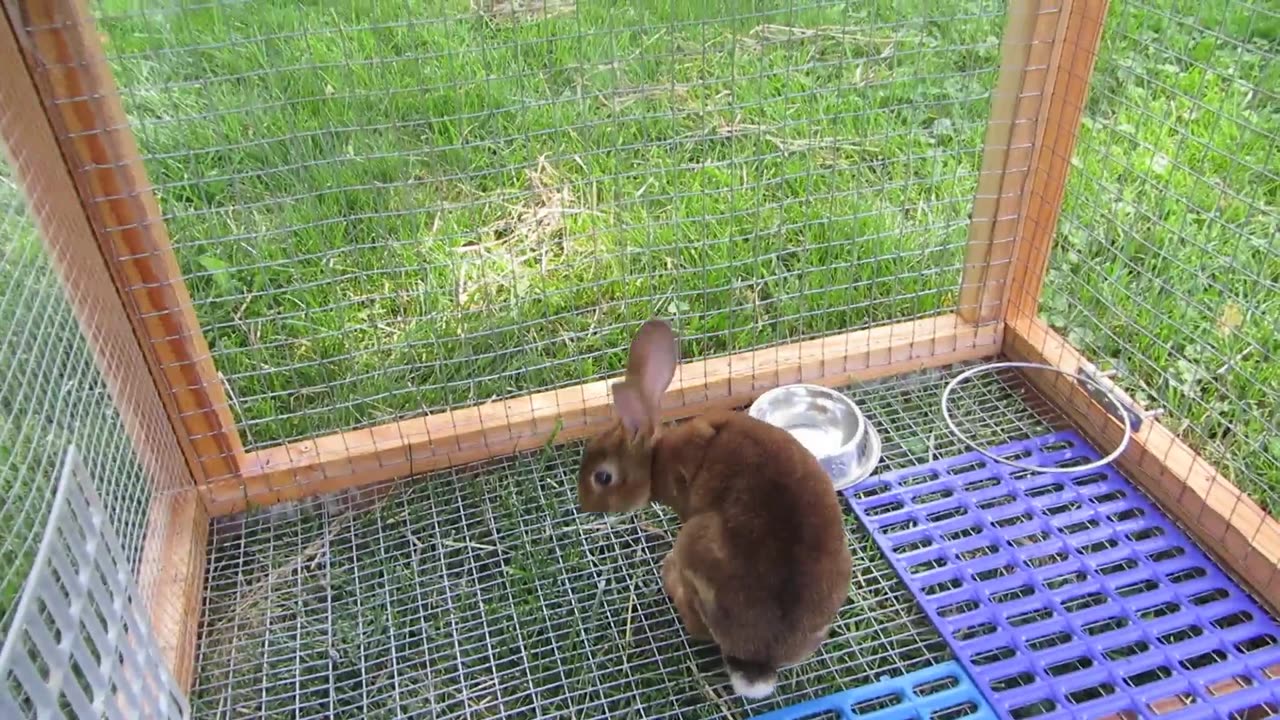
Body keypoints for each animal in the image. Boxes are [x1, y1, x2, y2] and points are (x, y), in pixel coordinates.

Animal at [578, 317, 849, 696]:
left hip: (694, 542)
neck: (656, 460)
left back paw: (668, 575)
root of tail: (758, 662)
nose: (583, 504)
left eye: (602, 477)